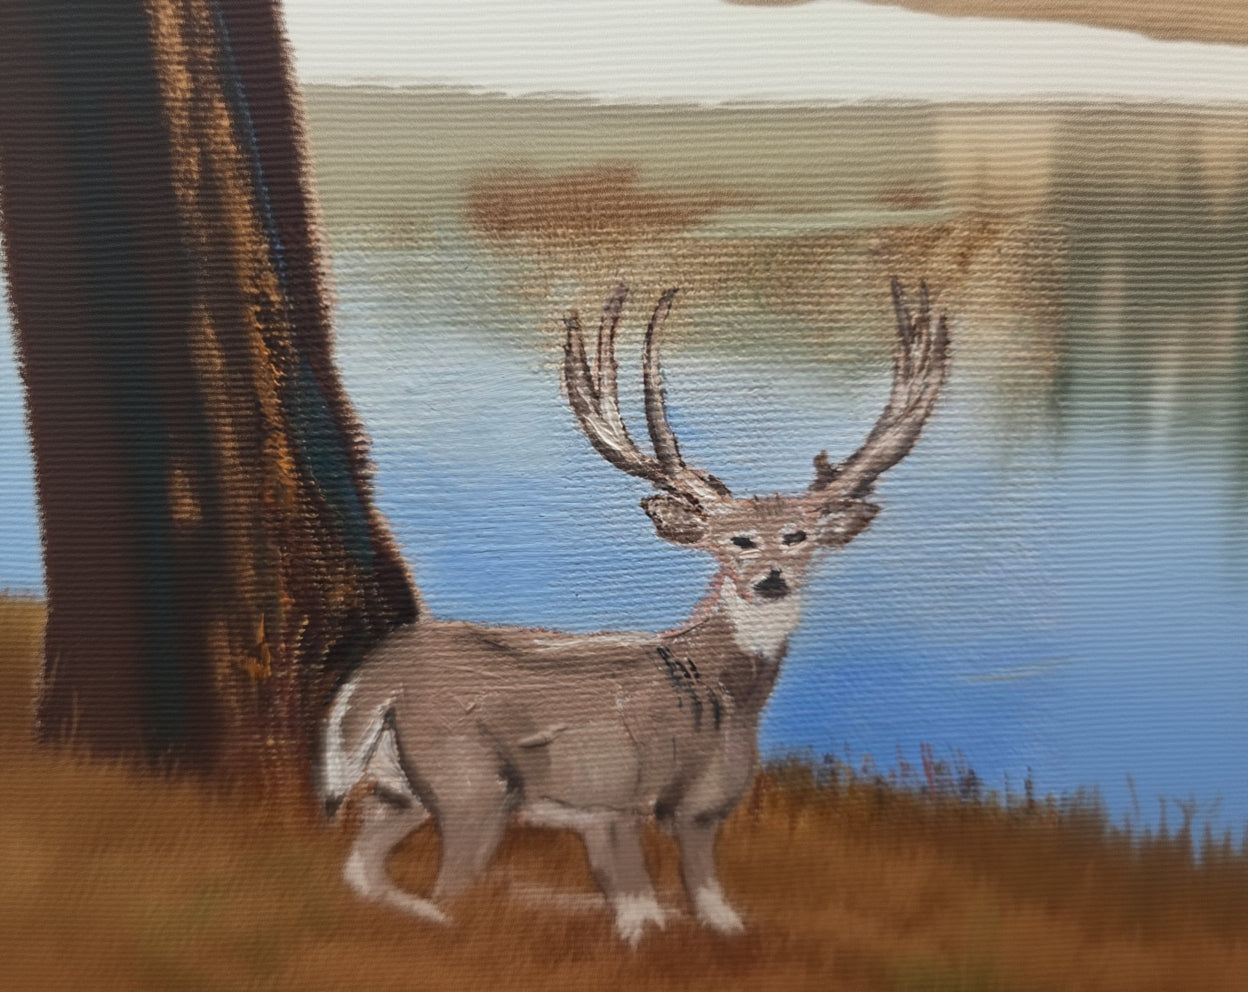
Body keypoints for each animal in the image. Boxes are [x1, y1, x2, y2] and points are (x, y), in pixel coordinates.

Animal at [318, 279, 950, 944]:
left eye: (799, 536)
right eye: (737, 540)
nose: (771, 579)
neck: (718, 691)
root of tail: (374, 677)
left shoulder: (704, 806)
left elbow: (710, 904)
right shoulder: (612, 792)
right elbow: (641, 908)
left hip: (401, 790)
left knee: (364, 867)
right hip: (470, 779)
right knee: (448, 882)